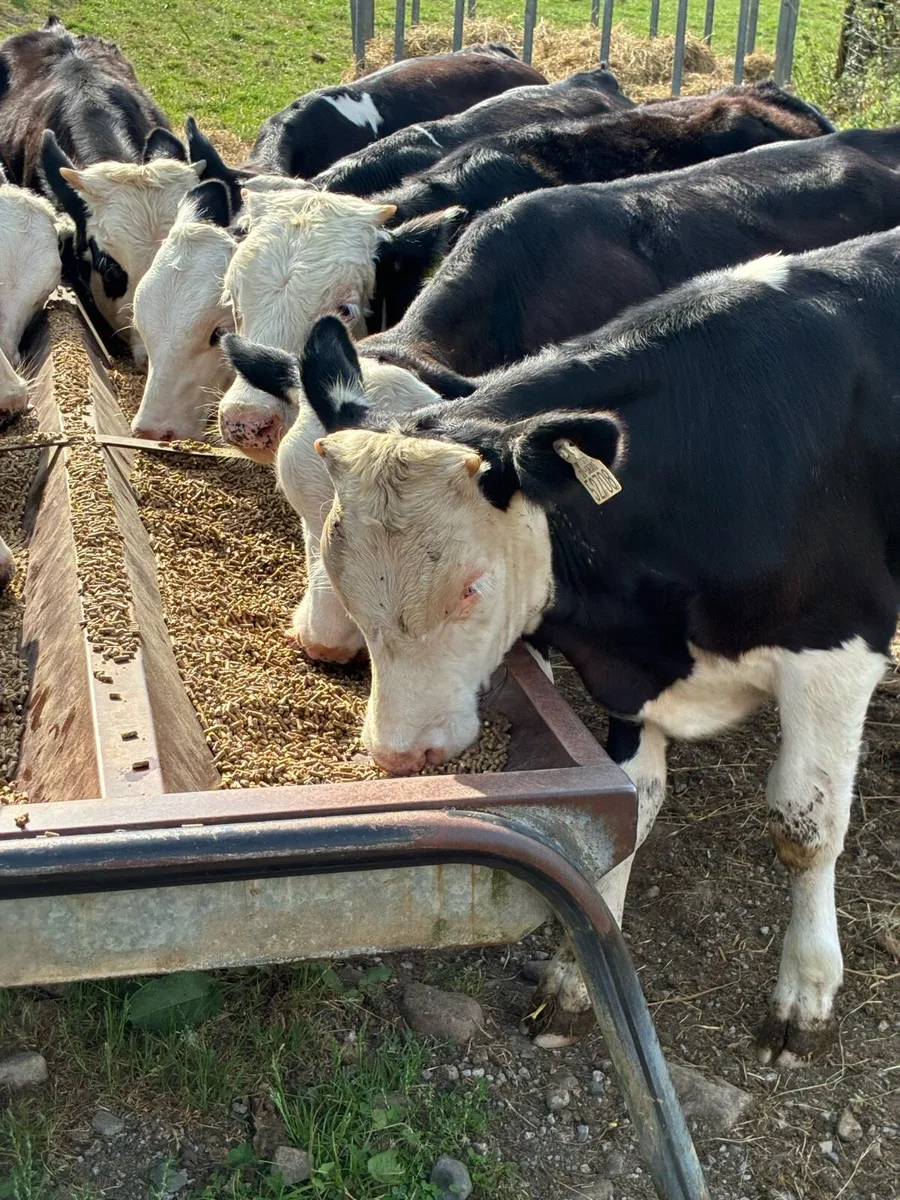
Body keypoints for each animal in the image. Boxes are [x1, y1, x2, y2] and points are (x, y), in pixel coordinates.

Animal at [224, 228, 900, 1068]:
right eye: (335, 560)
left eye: (473, 586)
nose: (397, 755)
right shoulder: (631, 672)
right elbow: (625, 809)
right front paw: (582, 981)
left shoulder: (836, 649)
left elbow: (805, 830)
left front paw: (804, 996)